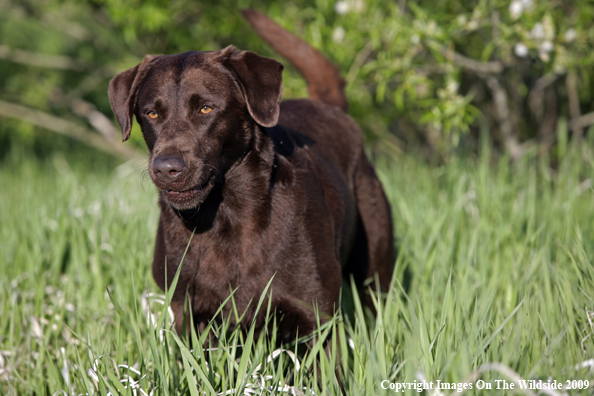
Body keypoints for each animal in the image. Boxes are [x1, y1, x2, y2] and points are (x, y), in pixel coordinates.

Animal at [107, 10, 394, 342]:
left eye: (206, 108)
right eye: (151, 113)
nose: (166, 168)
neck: (225, 216)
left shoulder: (318, 320)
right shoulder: (187, 314)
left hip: (374, 271)